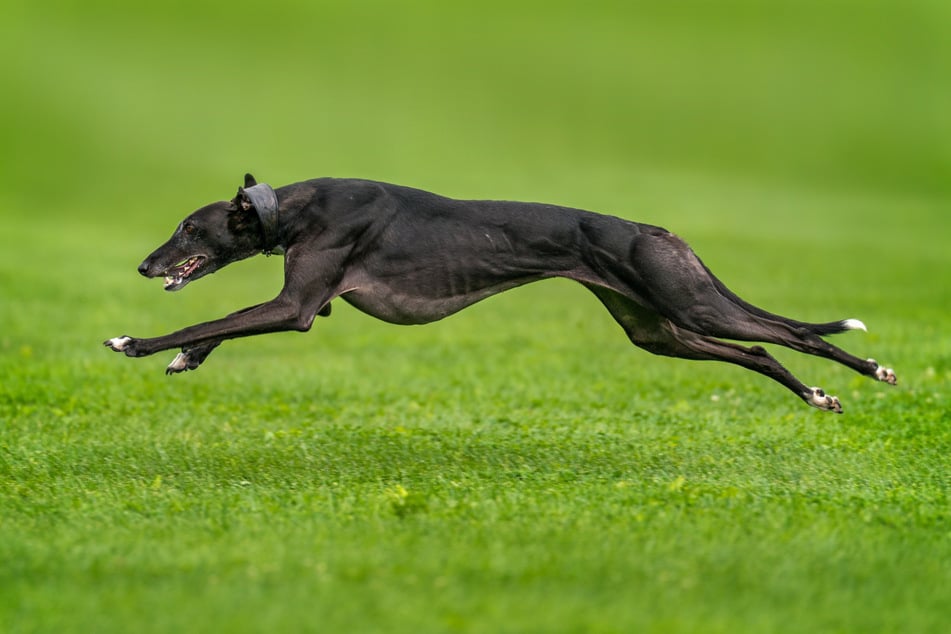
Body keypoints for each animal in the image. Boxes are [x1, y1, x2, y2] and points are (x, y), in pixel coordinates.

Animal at [108, 174, 896, 410]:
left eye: (187, 228)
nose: (144, 266)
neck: (296, 208)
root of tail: (655, 229)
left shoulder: (297, 307)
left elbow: (210, 319)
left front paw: (136, 342)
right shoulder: (307, 301)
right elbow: (216, 327)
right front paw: (183, 358)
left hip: (687, 302)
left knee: (793, 333)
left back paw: (872, 371)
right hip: (658, 329)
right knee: (760, 352)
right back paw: (817, 396)